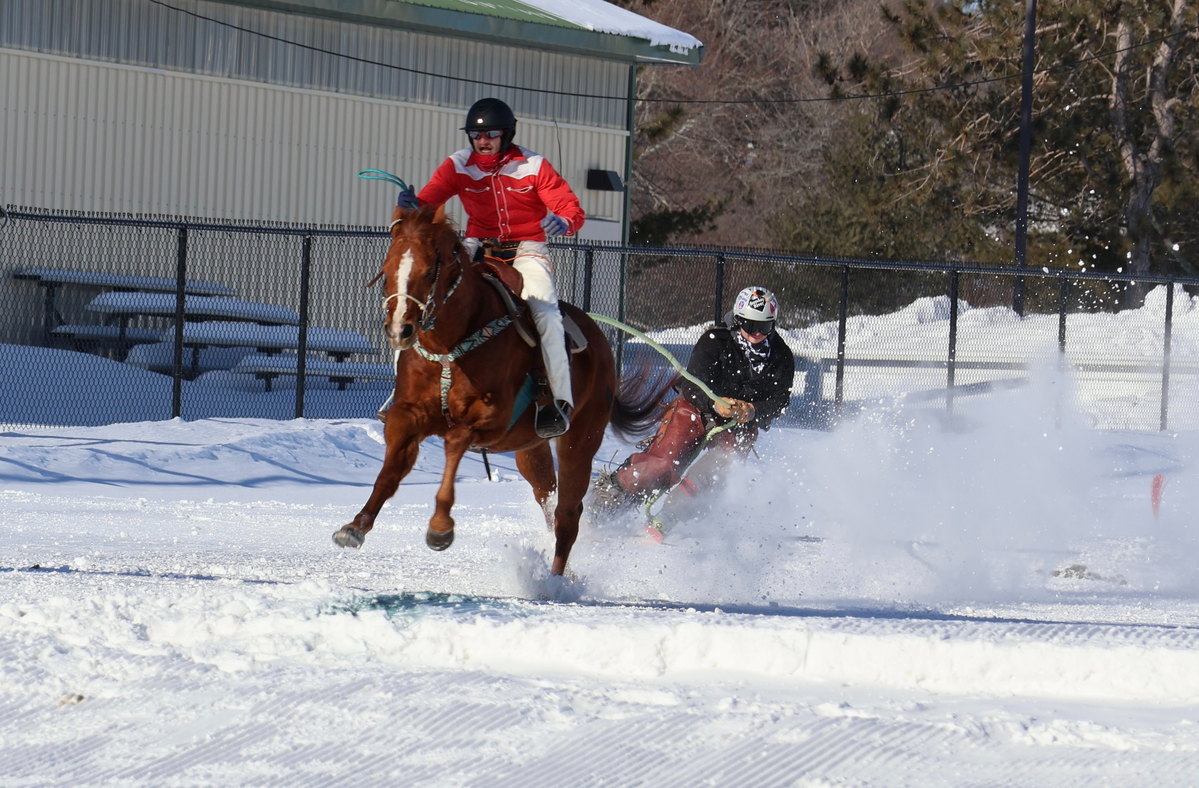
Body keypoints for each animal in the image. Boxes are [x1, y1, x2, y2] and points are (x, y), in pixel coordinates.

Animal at [333, 205, 672, 576]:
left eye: (428, 270)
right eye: (386, 270)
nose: (399, 329)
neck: (449, 346)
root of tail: (600, 343)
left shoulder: (490, 420)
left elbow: (454, 442)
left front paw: (440, 527)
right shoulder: (407, 417)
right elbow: (390, 472)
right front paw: (356, 526)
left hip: (581, 440)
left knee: (568, 515)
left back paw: (555, 580)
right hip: (530, 449)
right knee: (548, 496)